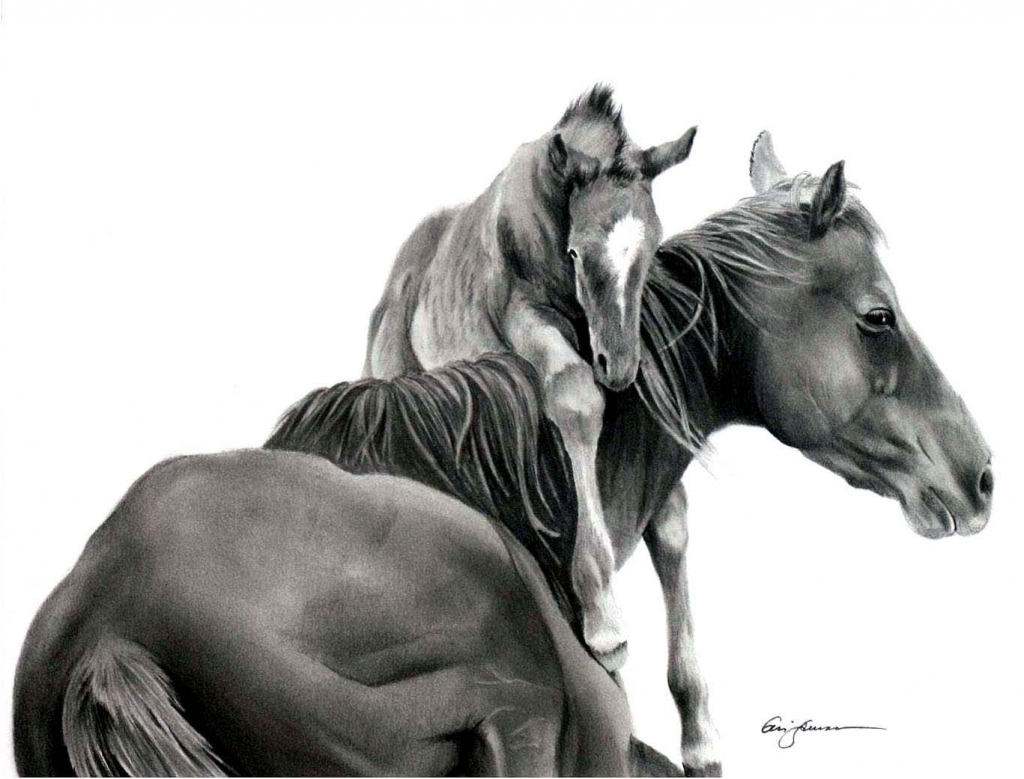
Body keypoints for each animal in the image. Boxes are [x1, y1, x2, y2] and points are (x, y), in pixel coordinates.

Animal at [364, 84, 698, 669]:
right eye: (576, 251)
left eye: (654, 247)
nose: (619, 364)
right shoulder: (526, 318)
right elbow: (574, 395)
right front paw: (604, 620)